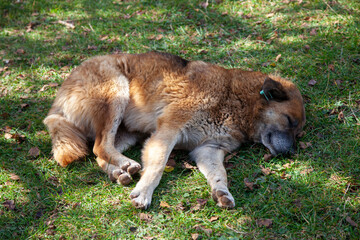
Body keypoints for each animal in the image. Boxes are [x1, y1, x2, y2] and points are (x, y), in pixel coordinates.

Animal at [43, 51, 306, 209]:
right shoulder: (168, 132)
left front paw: (222, 191)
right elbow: (158, 166)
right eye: (289, 121)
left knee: (99, 152)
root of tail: (57, 103)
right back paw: (125, 165)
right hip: (116, 94)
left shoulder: (209, 149)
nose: (291, 153)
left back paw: (120, 171)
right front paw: (144, 193)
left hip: (128, 133)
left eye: (298, 131)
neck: (235, 99)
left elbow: (220, 174)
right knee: (100, 146)